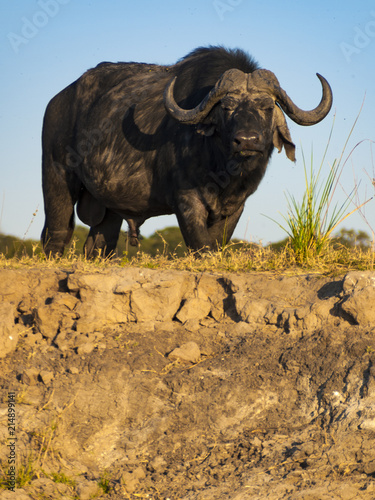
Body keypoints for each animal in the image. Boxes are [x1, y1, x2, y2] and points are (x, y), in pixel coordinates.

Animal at [41, 45, 334, 256]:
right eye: (226, 107)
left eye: (268, 106)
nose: (247, 141)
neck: (221, 168)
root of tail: (57, 100)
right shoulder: (186, 201)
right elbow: (201, 247)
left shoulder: (236, 206)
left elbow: (216, 244)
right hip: (56, 178)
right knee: (56, 233)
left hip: (108, 207)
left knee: (99, 244)